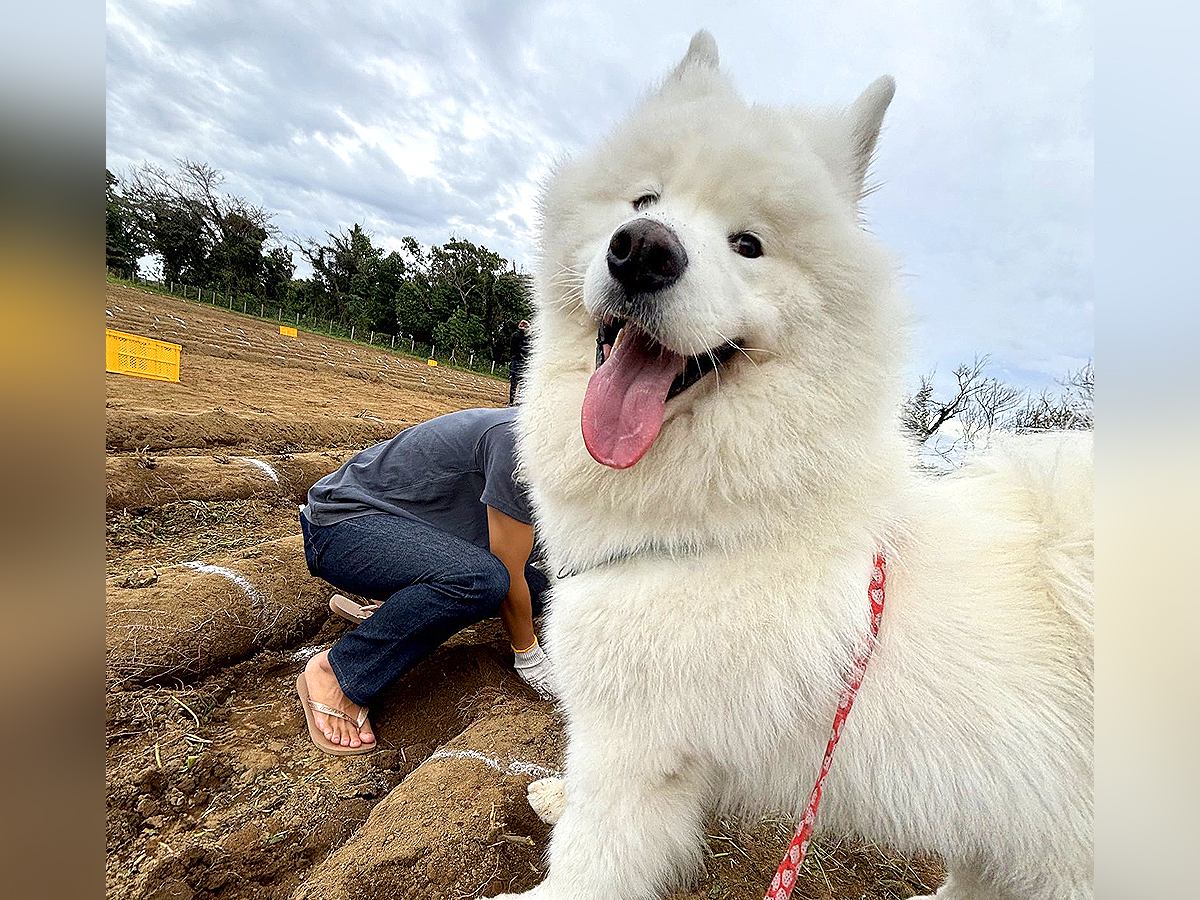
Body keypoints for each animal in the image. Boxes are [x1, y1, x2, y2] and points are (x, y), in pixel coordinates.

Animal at [501, 30, 1094, 900]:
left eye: (748, 245)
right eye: (643, 203)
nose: (643, 252)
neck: (731, 523)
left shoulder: (633, 752)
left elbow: (586, 863)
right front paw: (550, 793)